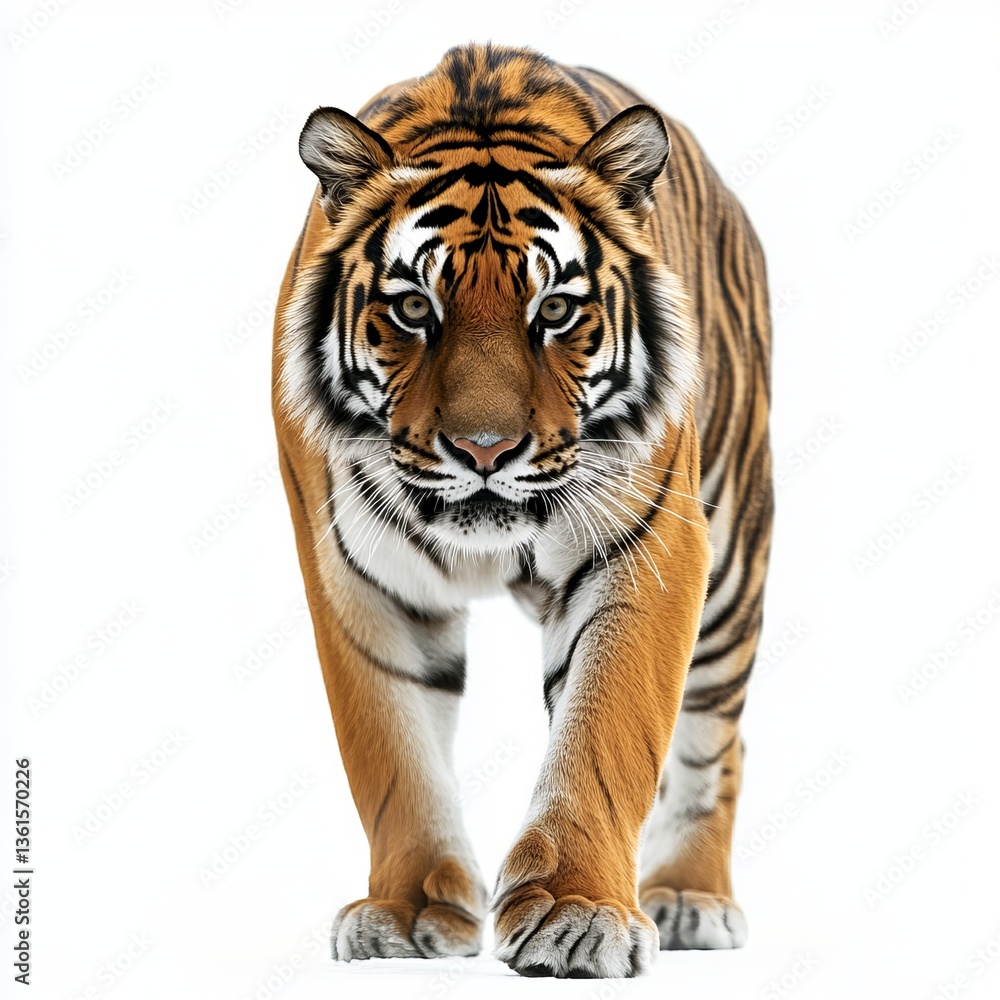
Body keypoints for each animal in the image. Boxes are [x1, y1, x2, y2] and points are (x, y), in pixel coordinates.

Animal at [271, 42, 772, 979]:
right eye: (414, 307)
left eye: (557, 310)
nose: (484, 450)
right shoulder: (359, 577)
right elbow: (391, 753)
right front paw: (405, 910)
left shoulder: (649, 546)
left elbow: (606, 731)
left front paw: (578, 913)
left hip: (734, 566)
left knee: (717, 736)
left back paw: (690, 894)